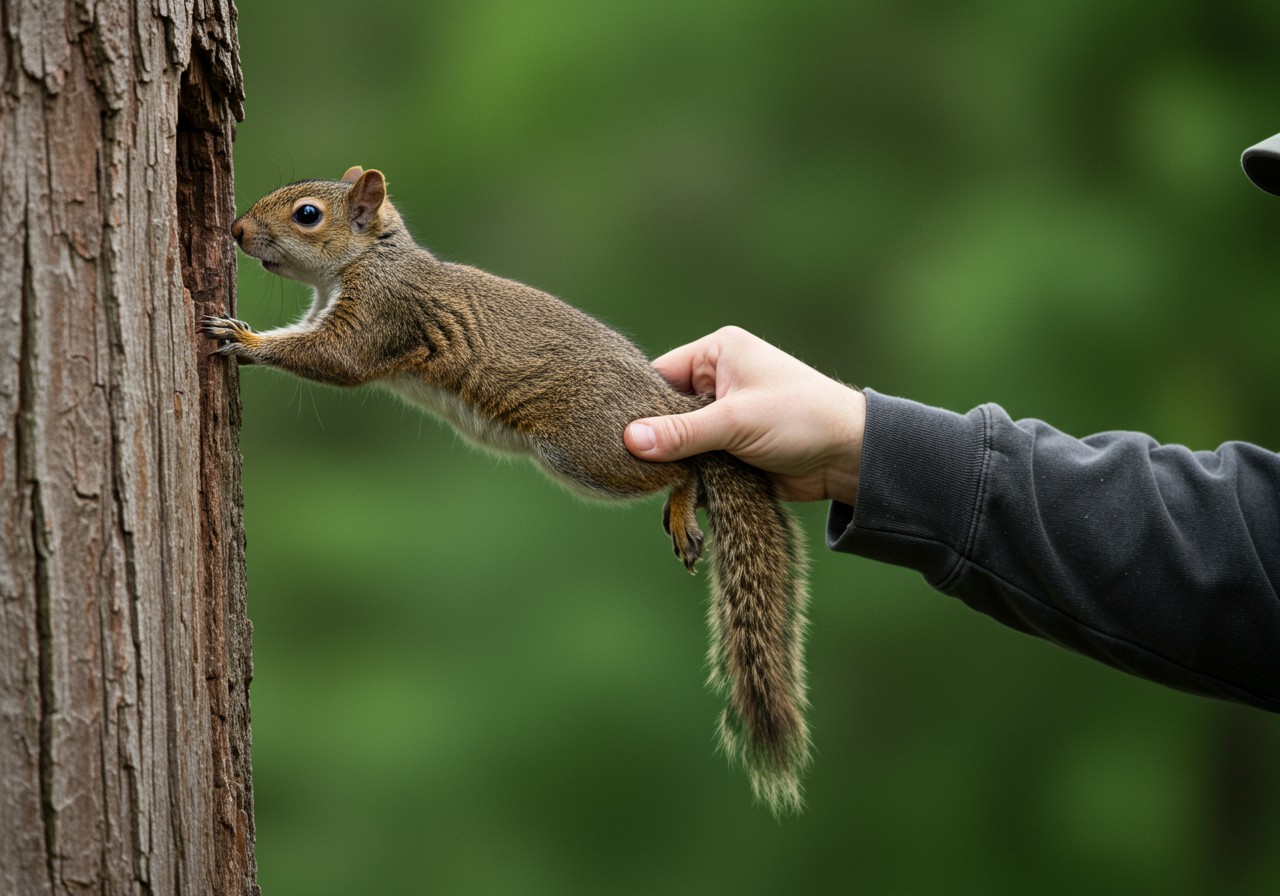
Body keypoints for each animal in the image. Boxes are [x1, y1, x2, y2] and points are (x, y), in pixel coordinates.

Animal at [202, 167, 812, 813]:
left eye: (308, 215)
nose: (236, 230)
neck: (368, 258)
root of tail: (672, 404)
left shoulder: (383, 314)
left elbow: (333, 357)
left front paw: (244, 339)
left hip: (591, 448)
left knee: (682, 468)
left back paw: (678, 502)